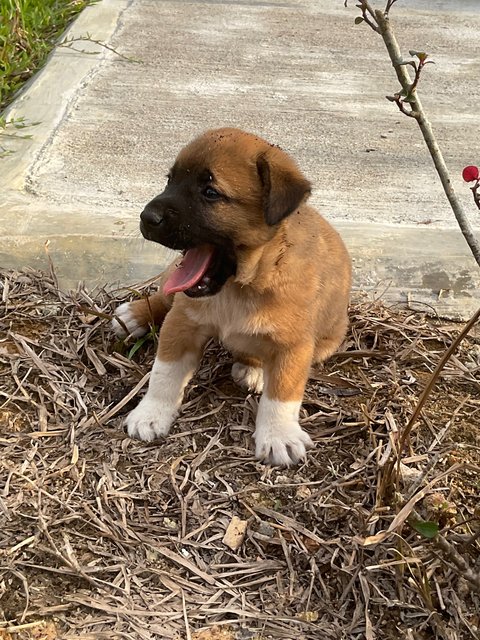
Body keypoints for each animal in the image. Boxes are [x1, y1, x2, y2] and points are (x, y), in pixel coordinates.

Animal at [113, 127, 352, 468]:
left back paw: (254, 370)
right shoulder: (182, 323)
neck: (241, 287)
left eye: (210, 193)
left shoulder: (294, 346)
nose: (147, 218)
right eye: (170, 180)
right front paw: (150, 413)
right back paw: (134, 316)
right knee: (163, 295)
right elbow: (164, 373)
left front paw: (278, 436)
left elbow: (283, 394)